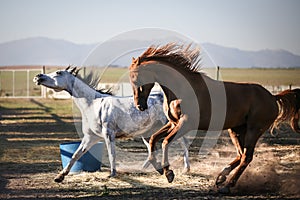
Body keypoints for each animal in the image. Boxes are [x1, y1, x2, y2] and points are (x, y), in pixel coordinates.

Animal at [33, 66, 190, 182]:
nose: (38, 77)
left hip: (170, 126)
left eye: (58, 73)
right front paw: (60, 177)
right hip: (147, 133)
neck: (93, 105)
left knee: (182, 144)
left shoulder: (108, 134)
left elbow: (111, 153)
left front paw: (112, 173)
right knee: (152, 148)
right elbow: (75, 155)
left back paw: (184, 169)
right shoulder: (90, 137)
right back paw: (150, 168)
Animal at [129, 42, 300, 194]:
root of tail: (273, 97)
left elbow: (165, 141)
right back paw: (221, 177)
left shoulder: (186, 123)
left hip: (254, 130)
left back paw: (227, 185)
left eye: (136, 78)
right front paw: (158, 168)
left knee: (247, 157)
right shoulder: (173, 123)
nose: (140, 106)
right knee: (240, 154)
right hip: (236, 130)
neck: (181, 90)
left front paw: (168, 172)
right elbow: (153, 139)